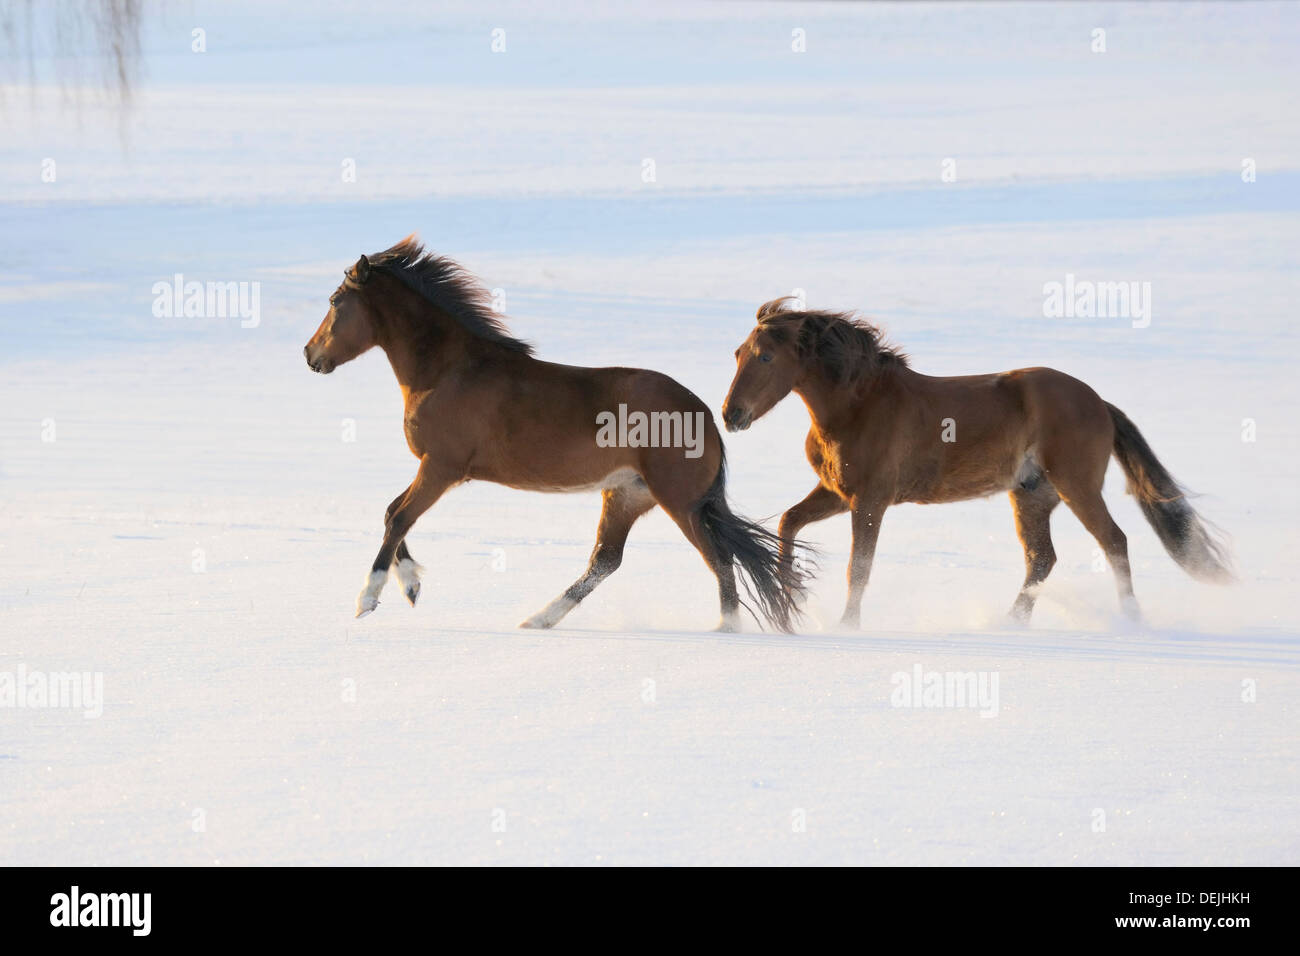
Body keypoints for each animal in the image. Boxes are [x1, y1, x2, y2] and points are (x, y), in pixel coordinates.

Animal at [303, 236, 804, 632]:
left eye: (334, 302)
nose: (310, 355)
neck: (448, 371)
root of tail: (709, 417)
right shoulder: (436, 469)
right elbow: (393, 512)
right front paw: (411, 586)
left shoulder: (442, 467)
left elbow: (399, 517)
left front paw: (368, 598)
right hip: (627, 494)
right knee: (606, 560)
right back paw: (538, 619)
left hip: (679, 502)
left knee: (719, 560)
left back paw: (726, 629)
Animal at [720, 297, 1232, 628]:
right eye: (738, 353)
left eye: (765, 357)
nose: (730, 415)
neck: (859, 405)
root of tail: (1099, 402)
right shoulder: (837, 493)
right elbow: (789, 522)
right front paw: (790, 599)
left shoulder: (870, 501)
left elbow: (858, 568)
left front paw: (847, 625)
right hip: (1031, 496)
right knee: (1042, 558)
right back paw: (1011, 623)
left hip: (1077, 487)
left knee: (1114, 542)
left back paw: (1129, 619)